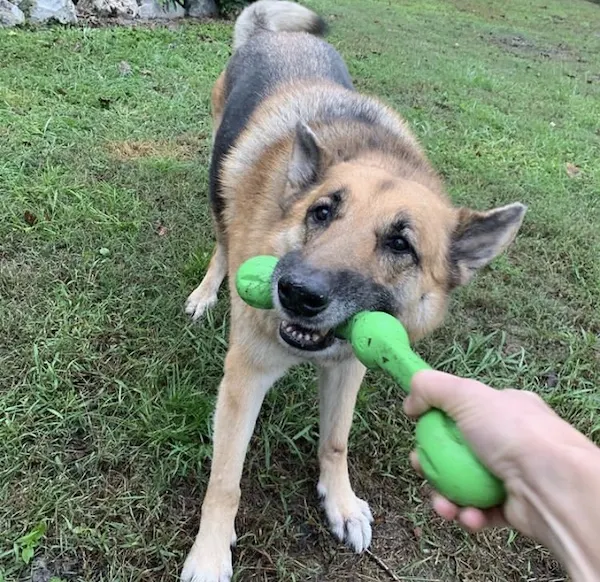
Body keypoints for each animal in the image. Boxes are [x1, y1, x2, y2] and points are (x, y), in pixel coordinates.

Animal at [182, 2, 524, 580]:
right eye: (322, 213)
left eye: (400, 244)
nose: (297, 293)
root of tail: (276, 36)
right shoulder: (244, 378)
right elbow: (225, 480)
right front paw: (209, 555)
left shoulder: (348, 367)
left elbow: (336, 442)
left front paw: (340, 503)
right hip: (217, 177)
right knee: (222, 242)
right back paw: (208, 292)